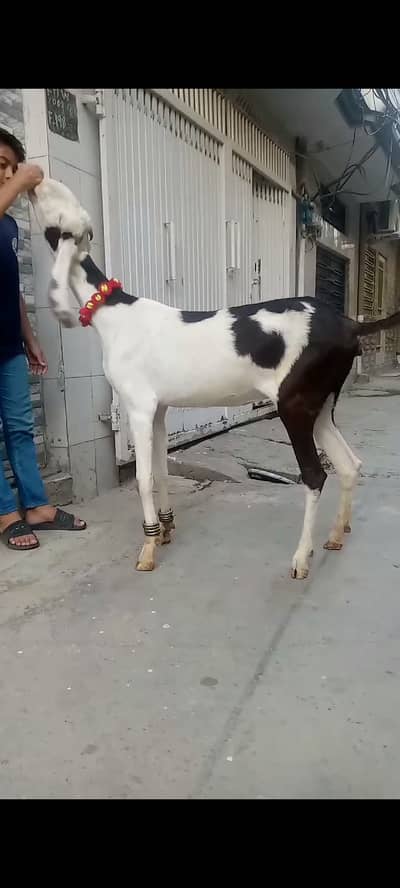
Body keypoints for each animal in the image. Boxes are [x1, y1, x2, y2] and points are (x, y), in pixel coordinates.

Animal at [31, 177, 400, 578]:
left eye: (51, 199)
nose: (32, 180)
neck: (113, 312)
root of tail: (348, 324)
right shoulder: (160, 408)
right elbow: (161, 471)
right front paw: (166, 528)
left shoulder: (139, 406)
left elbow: (143, 478)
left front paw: (148, 548)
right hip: (320, 402)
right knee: (349, 464)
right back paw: (335, 534)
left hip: (294, 403)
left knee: (316, 476)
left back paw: (302, 557)